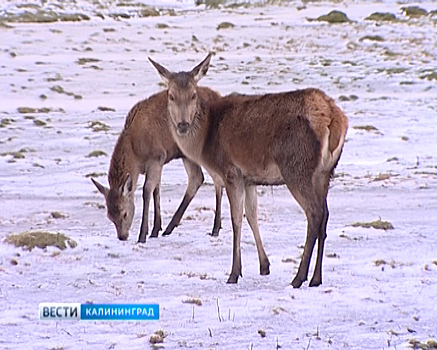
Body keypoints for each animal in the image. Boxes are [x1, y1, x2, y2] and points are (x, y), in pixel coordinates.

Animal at [91, 85, 221, 243]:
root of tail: (218, 95)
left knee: (216, 178)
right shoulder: (158, 162)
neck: (135, 152)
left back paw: (215, 228)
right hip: (186, 154)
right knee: (197, 178)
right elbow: (156, 190)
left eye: (124, 213)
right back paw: (170, 228)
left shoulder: (155, 157)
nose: (122, 237)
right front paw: (155, 229)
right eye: (109, 216)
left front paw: (142, 234)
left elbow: (147, 191)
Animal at [149, 53, 348, 288]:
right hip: (325, 172)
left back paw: (298, 278)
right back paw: (316, 278)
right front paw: (264, 266)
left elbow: (236, 220)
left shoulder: (230, 171)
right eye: (171, 96)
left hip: (297, 167)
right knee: (325, 214)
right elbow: (252, 215)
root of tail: (334, 119)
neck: (205, 142)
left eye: (193, 95)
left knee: (314, 213)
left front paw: (234, 273)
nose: (182, 125)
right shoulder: (249, 178)